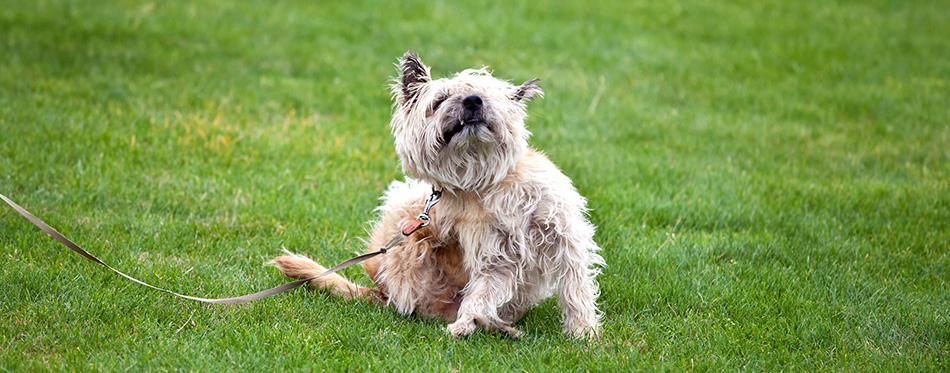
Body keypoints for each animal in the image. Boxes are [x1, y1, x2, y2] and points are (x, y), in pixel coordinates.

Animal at [272, 49, 608, 338]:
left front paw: (584, 333)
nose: (472, 100)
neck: (486, 182)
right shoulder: (495, 257)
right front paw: (467, 322)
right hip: (404, 216)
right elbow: (483, 292)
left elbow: (576, 288)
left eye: (486, 96)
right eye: (440, 100)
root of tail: (381, 293)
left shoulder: (563, 237)